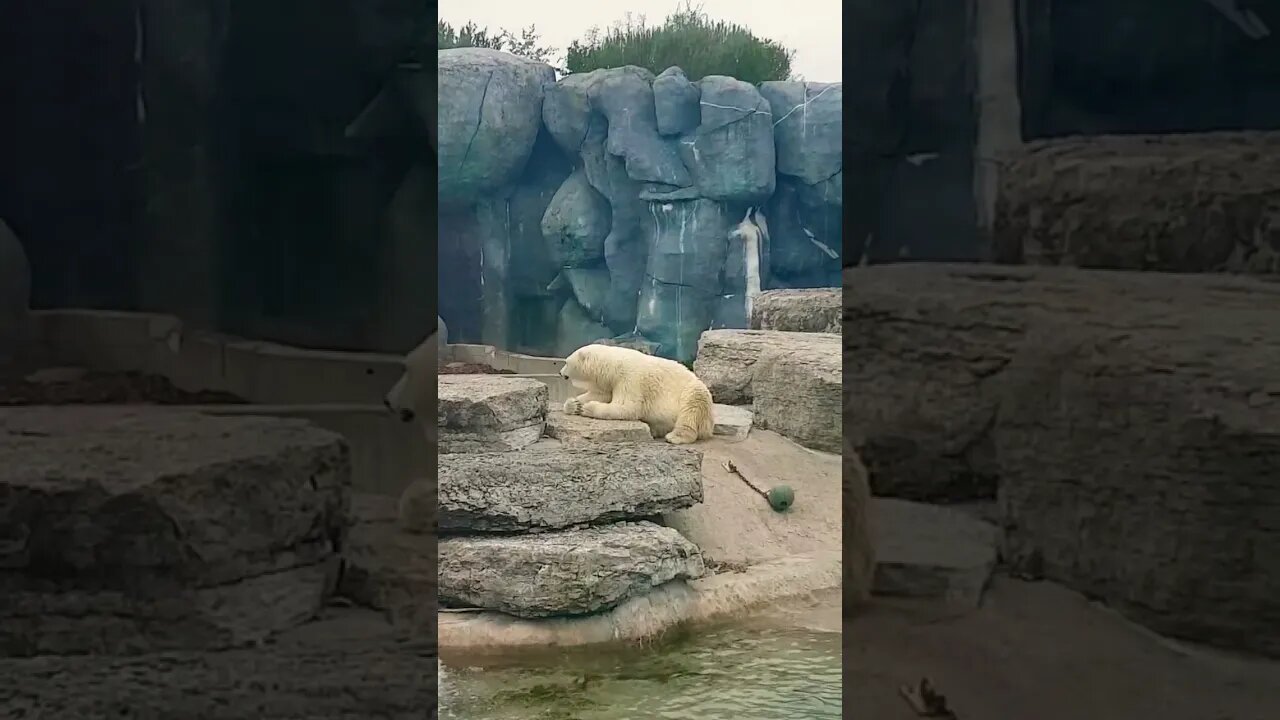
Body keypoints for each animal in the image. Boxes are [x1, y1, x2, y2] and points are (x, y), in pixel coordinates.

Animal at [559, 343, 715, 445]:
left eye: (566, 362)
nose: (560, 373)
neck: (613, 366)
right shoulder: (610, 383)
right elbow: (601, 394)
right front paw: (574, 404)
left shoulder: (629, 378)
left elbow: (627, 407)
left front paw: (587, 408)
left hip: (693, 392)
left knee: (692, 407)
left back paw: (675, 437)